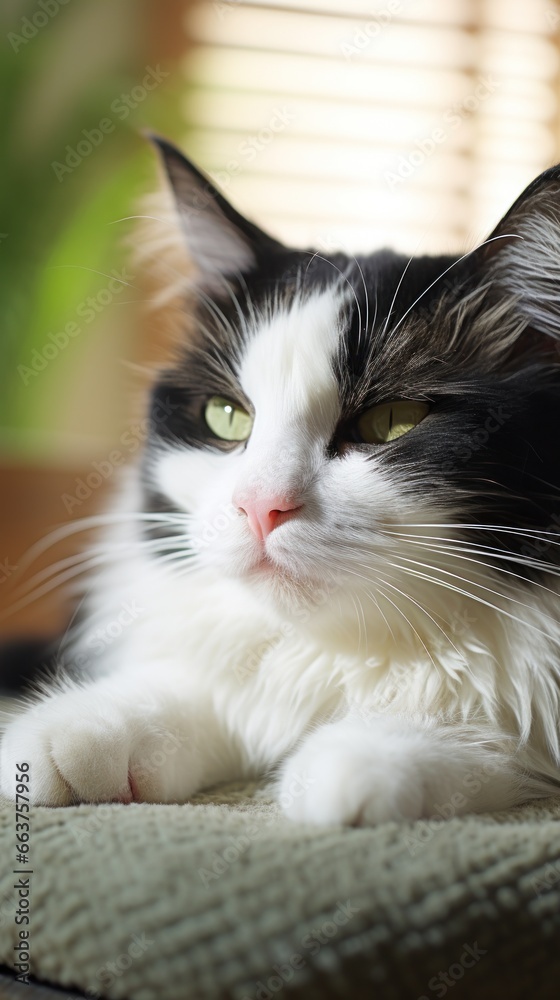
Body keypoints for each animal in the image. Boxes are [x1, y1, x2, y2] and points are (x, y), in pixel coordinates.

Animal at [1, 139, 560, 828]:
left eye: (392, 422)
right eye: (227, 417)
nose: (259, 507)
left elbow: (489, 722)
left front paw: (365, 758)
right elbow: (198, 687)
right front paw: (80, 731)